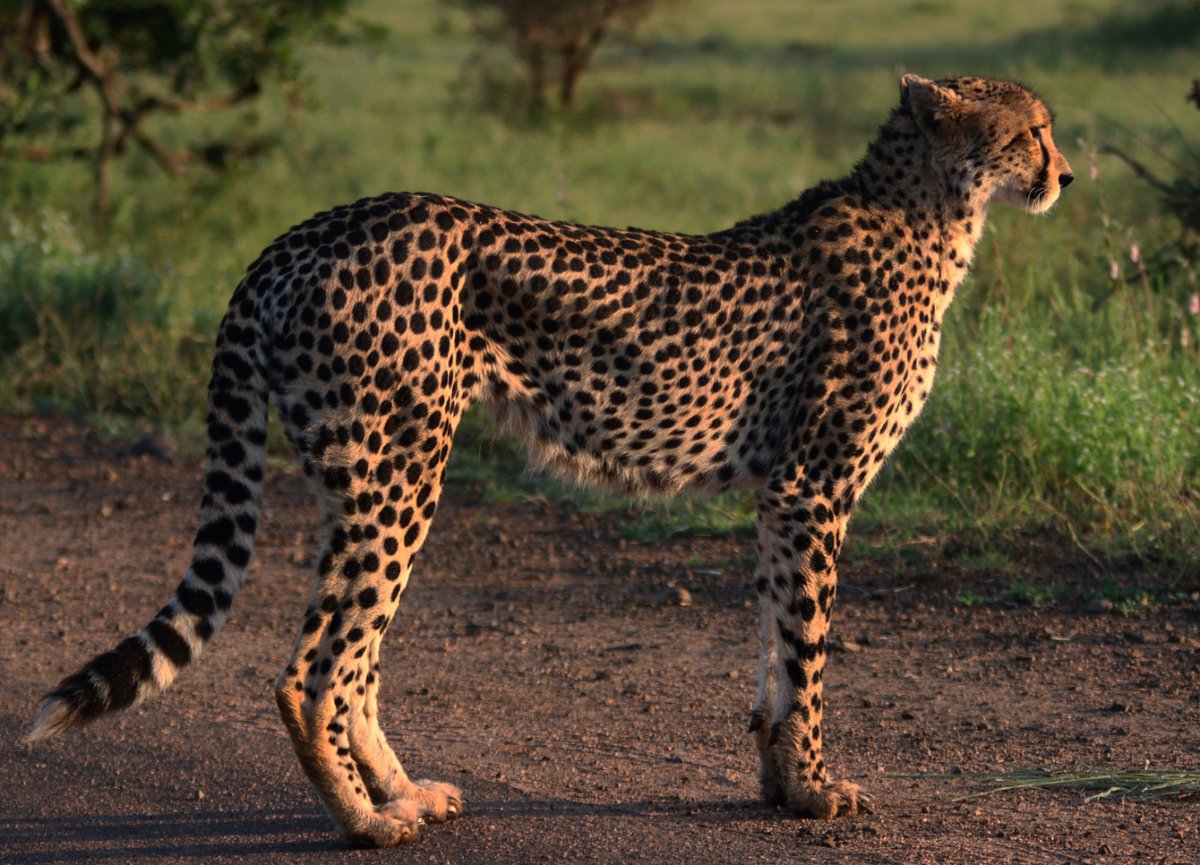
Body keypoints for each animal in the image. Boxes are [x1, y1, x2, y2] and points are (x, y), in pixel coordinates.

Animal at [27, 74, 1072, 847]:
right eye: (1034, 131)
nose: (1065, 174)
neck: (933, 208)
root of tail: (314, 226)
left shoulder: (783, 501)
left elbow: (777, 647)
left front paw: (781, 782)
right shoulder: (818, 489)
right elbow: (806, 651)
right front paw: (816, 791)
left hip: (358, 474)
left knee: (356, 660)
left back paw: (406, 794)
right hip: (401, 470)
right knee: (315, 667)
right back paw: (366, 821)